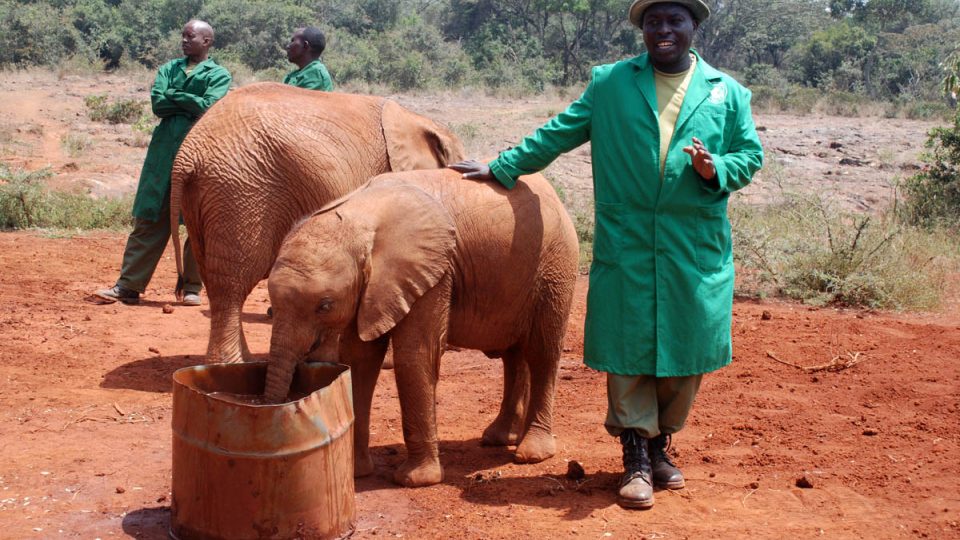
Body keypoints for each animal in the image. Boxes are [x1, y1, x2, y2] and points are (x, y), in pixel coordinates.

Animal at [170, 82, 464, 364]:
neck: (418, 120)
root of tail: (187, 154)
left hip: (206, 197)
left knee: (213, 274)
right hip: (241, 192)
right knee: (232, 283)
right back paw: (232, 363)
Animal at [260, 168, 576, 486]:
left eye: (324, 306)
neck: (360, 212)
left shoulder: (434, 271)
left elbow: (415, 355)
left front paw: (415, 480)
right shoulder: (371, 289)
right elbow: (360, 360)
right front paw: (356, 473)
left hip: (555, 267)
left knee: (542, 353)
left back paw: (532, 453)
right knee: (513, 356)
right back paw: (499, 438)